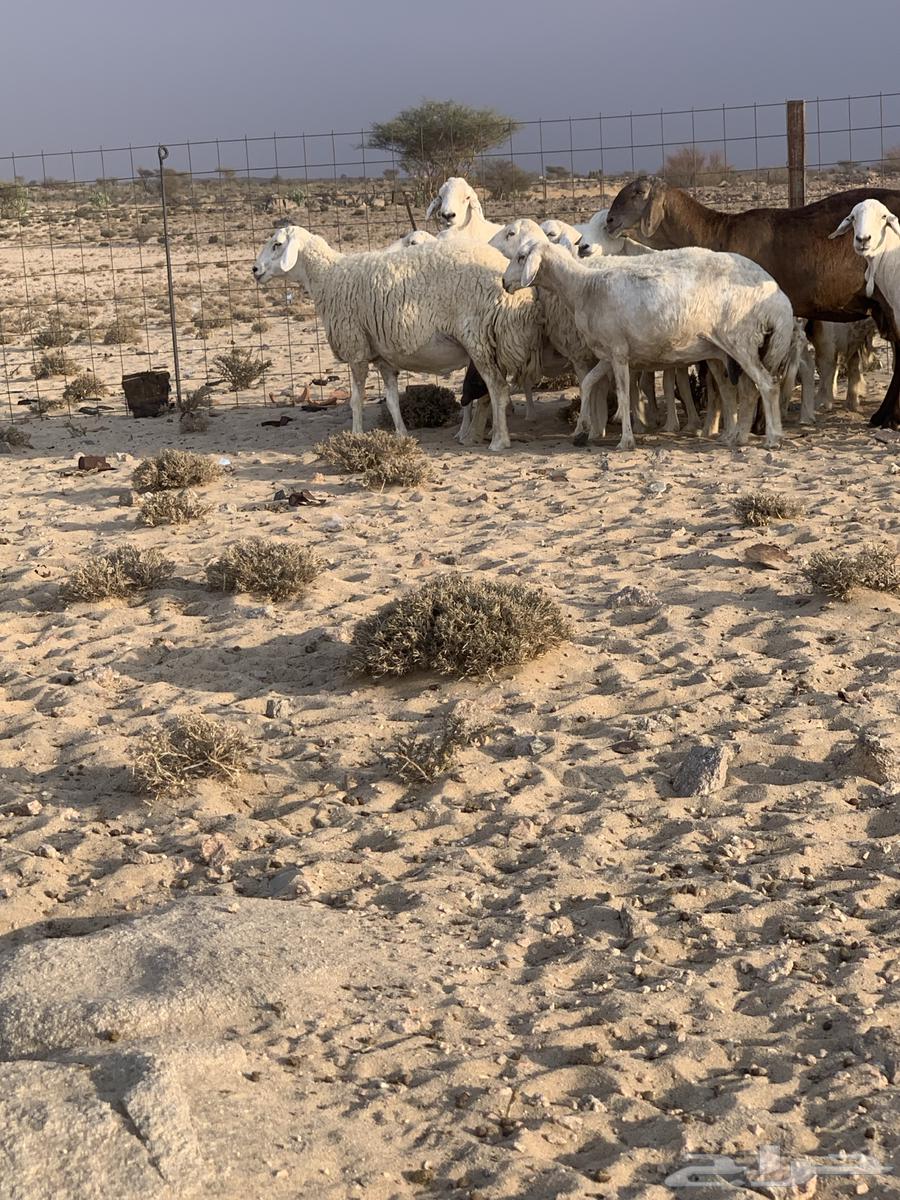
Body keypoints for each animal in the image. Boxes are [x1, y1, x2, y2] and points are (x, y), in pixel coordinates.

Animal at [251, 225, 542, 451]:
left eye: (277, 245)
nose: (254, 269)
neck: (329, 277)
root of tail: (514, 287)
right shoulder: (383, 357)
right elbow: (391, 401)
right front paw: (401, 434)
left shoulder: (356, 348)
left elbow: (355, 400)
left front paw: (355, 435)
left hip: (478, 338)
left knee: (497, 388)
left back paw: (499, 440)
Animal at [498, 220, 794, 451]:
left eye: (522, 257)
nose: (503, 282)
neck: (585, 287)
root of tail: (779, 300)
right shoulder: (608, 353)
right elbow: (589, 383)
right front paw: (581, 431)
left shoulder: (618, 352)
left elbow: (623, 393)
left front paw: (626, 440)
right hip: (732, 350)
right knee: (747, 390)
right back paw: (738, 437)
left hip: (741, 342)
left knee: (766, 385)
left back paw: (772, 438)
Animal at [604, 175, 900, 427]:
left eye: (638, 192)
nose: (609, 221)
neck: (717, 234)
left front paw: (757, 421)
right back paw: (884, 416)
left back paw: (886, 418)